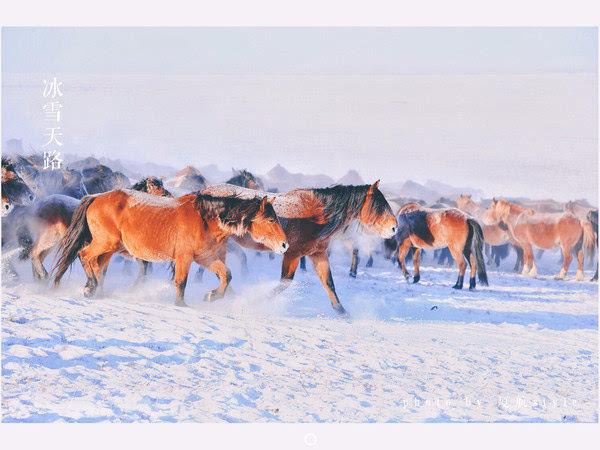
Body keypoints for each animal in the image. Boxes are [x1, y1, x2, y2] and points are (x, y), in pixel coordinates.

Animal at [52, 190, 288, 306]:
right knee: (84, 255)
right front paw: (181, 304)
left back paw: (96, 289)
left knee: (96, 265)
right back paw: (90, 287)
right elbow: (181, 282)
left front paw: (212, 296)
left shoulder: (206, 258)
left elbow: (226, 275)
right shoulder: (184, 257)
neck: (205, 219)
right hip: (105, 243)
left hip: (111, 248)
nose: (284, 245)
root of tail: (95, 198)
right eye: (270, 219)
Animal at [205, 181, 398, 314]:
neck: (316, 215)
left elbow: (328, 283)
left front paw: (342, 312)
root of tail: (203, 192)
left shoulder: (317, 254)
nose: (394, 228)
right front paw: (257, 301)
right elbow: (284, 283)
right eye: (378, 206)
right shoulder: (292, 254)